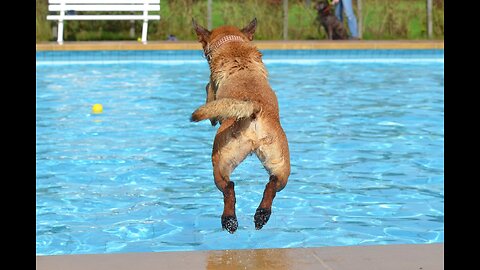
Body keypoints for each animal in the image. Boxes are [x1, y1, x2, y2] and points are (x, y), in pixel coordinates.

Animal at [190, 19, 288, 234]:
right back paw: (261, 215)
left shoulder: (211, 91)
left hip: (220, 161)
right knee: (272, 184)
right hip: (280, 164)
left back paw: (229, 220)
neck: (233, 45)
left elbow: (208, 92)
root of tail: (254, 108)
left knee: (229, 188)